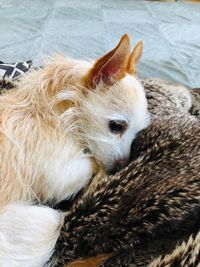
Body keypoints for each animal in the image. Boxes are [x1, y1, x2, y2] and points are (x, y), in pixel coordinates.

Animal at [0, 34, 148, 266]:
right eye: (116, 126)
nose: (123, 166)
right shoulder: (61, 176)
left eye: (138, 133)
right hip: (46, 220)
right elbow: (91, 162)